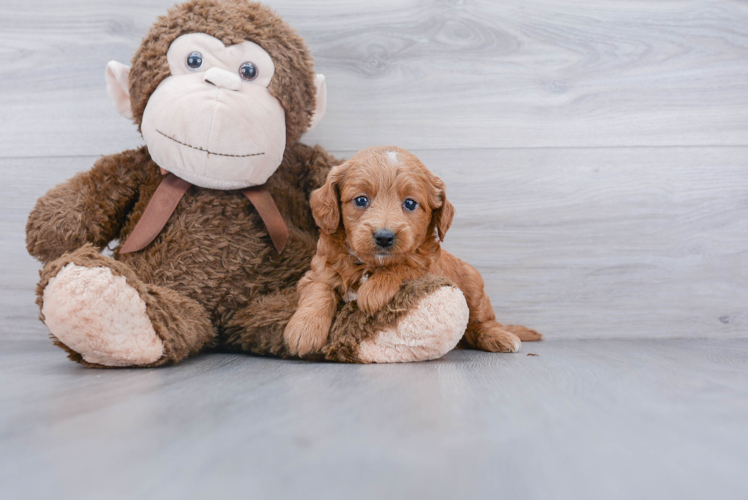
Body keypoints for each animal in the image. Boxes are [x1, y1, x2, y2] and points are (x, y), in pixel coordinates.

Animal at [284, 145, 540, 356]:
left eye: (409, 203)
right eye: (361, 200)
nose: (384, 237)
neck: (370, 265)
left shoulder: (428, 269)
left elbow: (405, 265)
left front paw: (373, 291)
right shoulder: (318, 272)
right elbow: (319, 291)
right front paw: (304, 331)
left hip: (474, 286)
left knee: (480, 323)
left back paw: (500, 336)